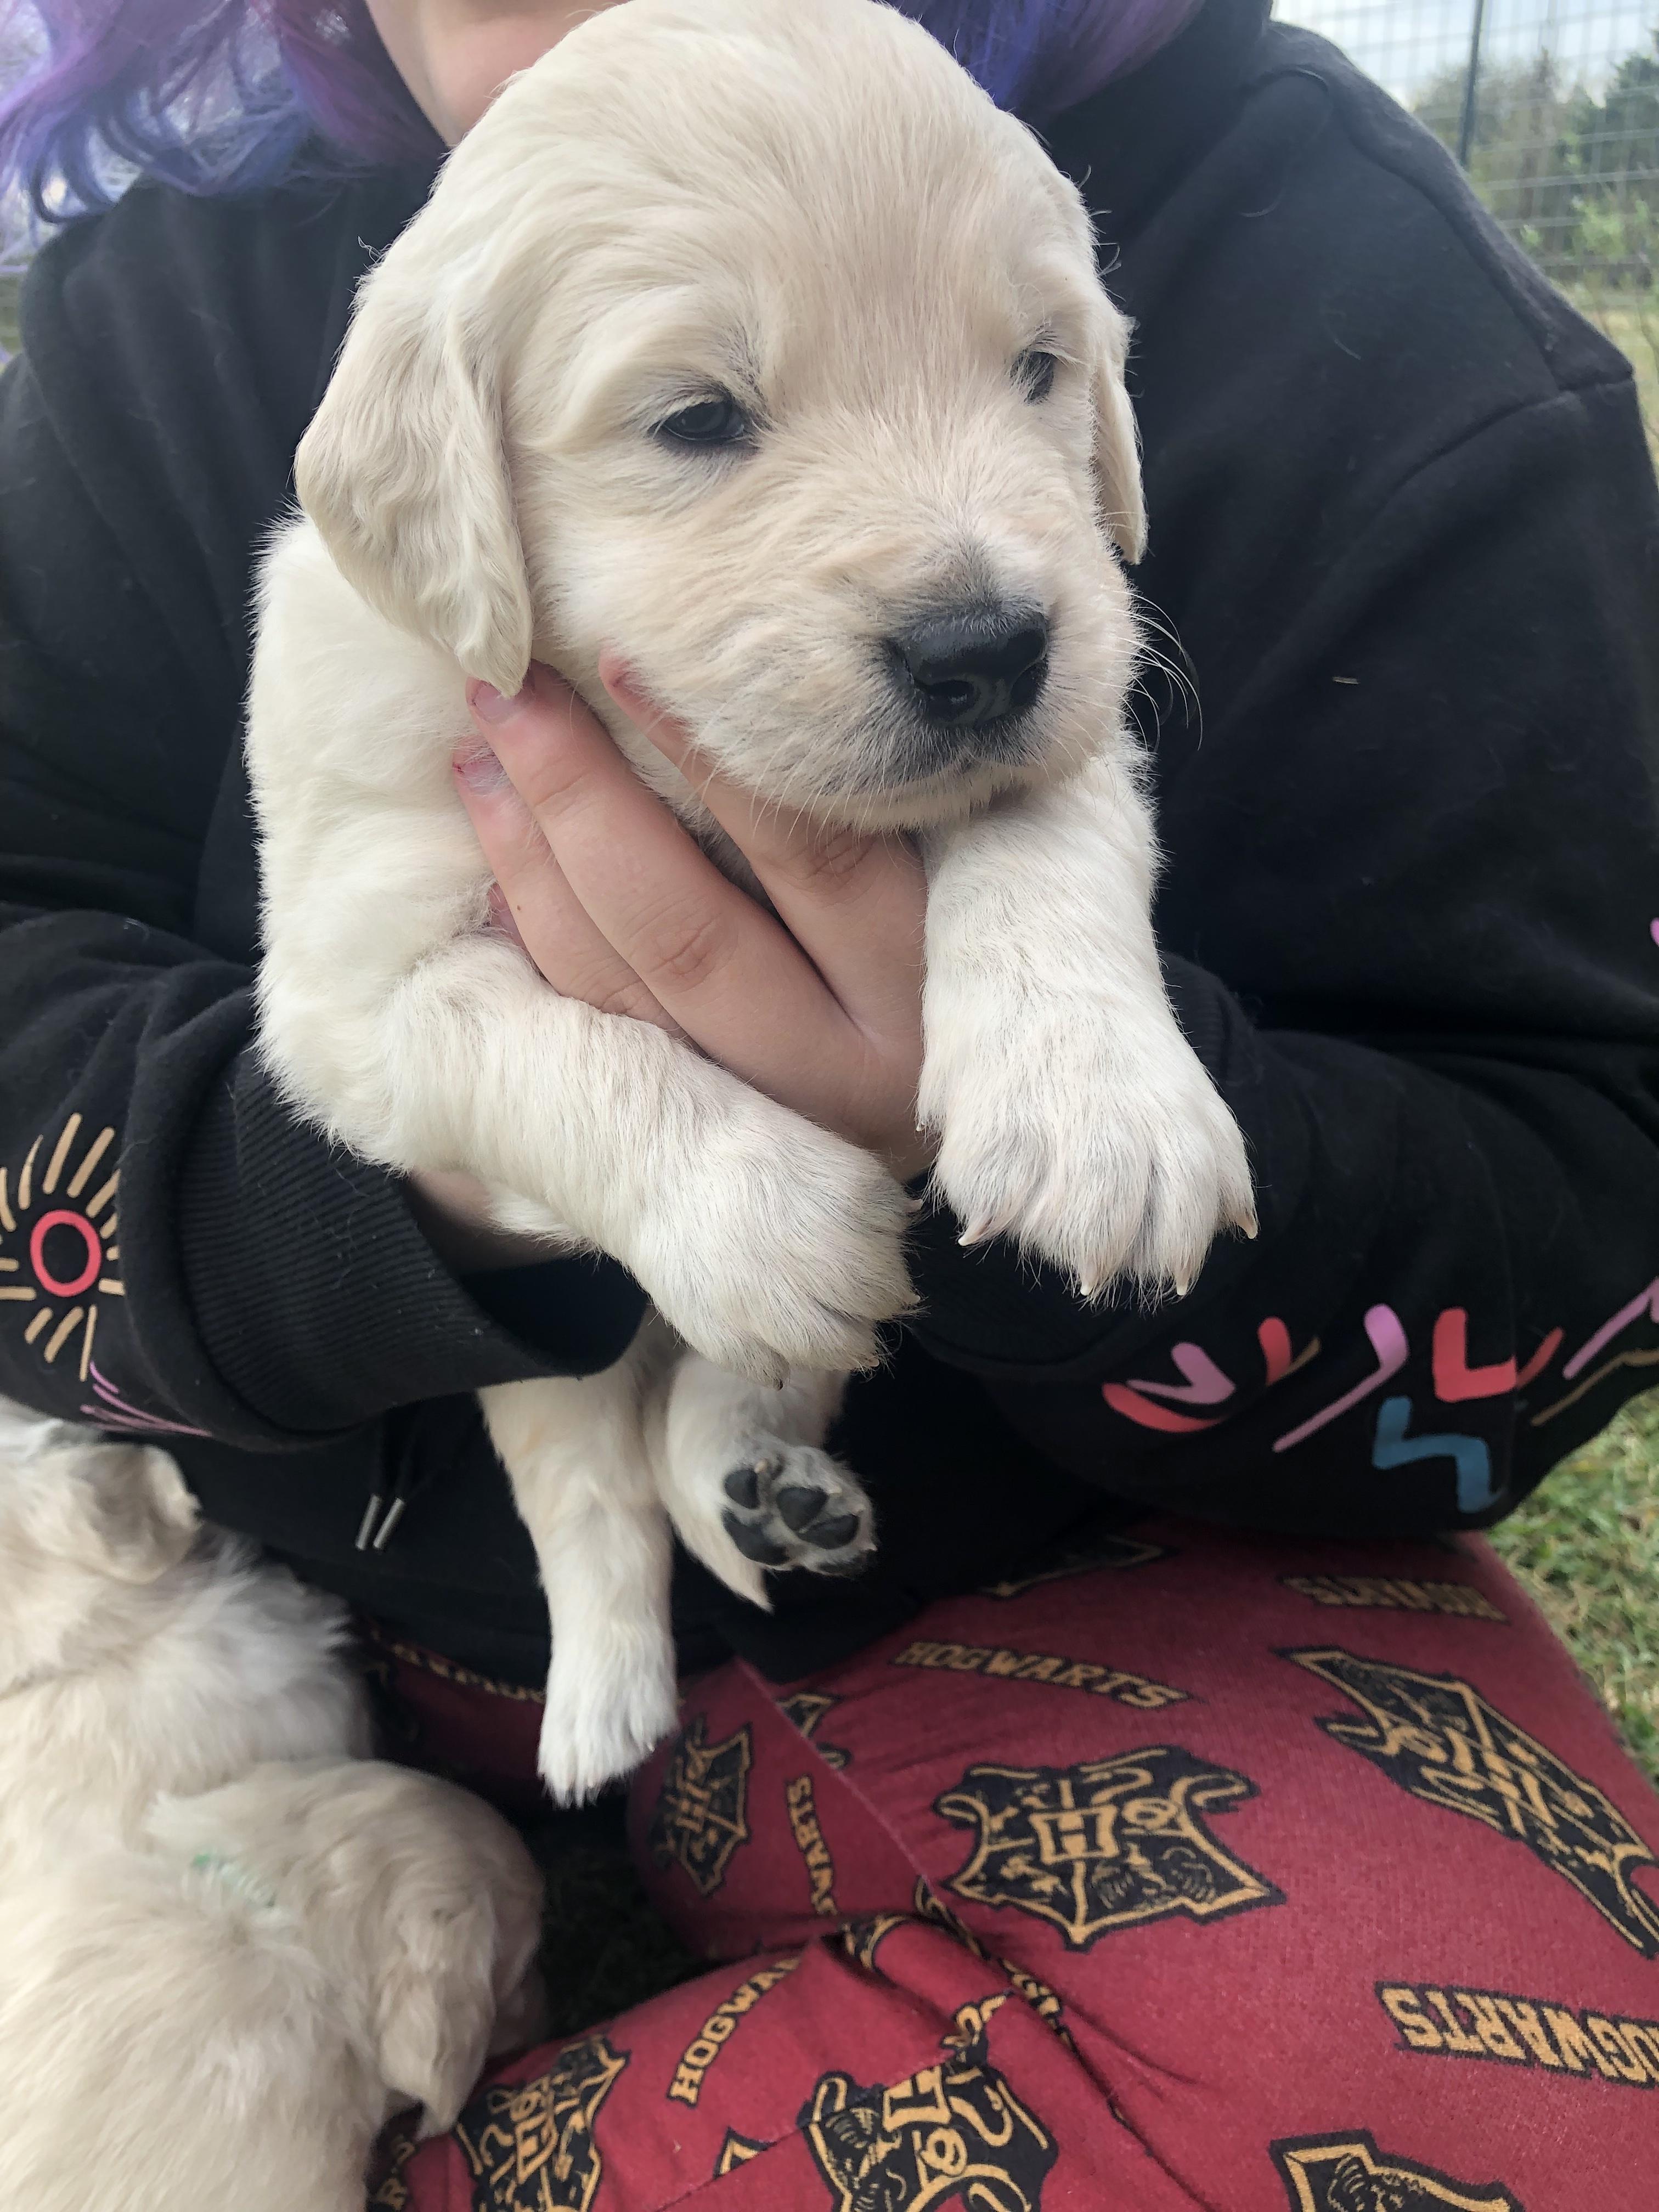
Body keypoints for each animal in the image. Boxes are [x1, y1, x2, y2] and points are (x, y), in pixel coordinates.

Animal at [247, 0, 1255, 1802]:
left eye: (1039, 369)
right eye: (700, 418)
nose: (989, 649)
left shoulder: (1083, 723)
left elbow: (1048, 841)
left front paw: (1100, 1112)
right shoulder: (347, 998)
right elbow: (550, 1050)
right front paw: (758, 1207)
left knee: (731, 1392)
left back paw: (765, 1485)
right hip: (547, 1345)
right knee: (590, 1478)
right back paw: (604, 1704)